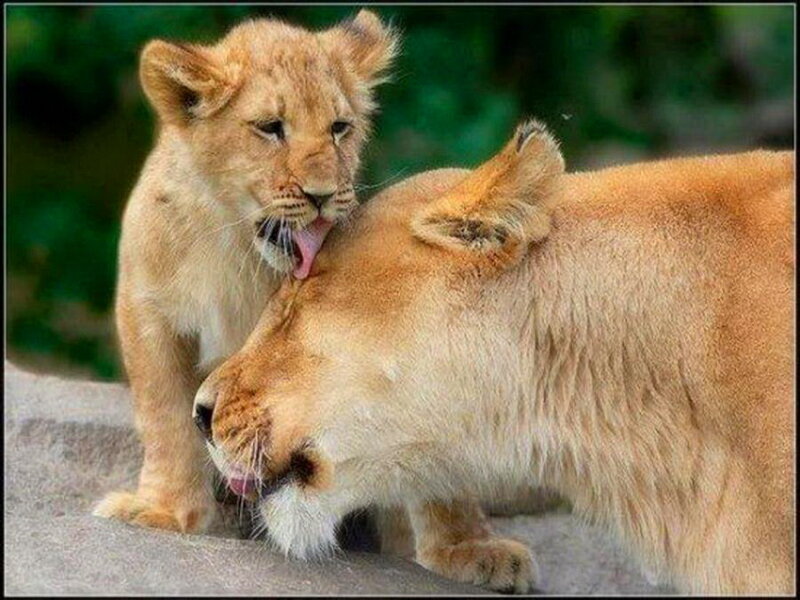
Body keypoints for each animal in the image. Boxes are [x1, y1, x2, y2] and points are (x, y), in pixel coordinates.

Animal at [93, 10, 537, 590]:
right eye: (270, 128)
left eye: (339, 128)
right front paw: (167, 511)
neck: (240, 255)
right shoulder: (147, 310)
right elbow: (164, 414)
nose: (323, 195)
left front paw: (468, 548)